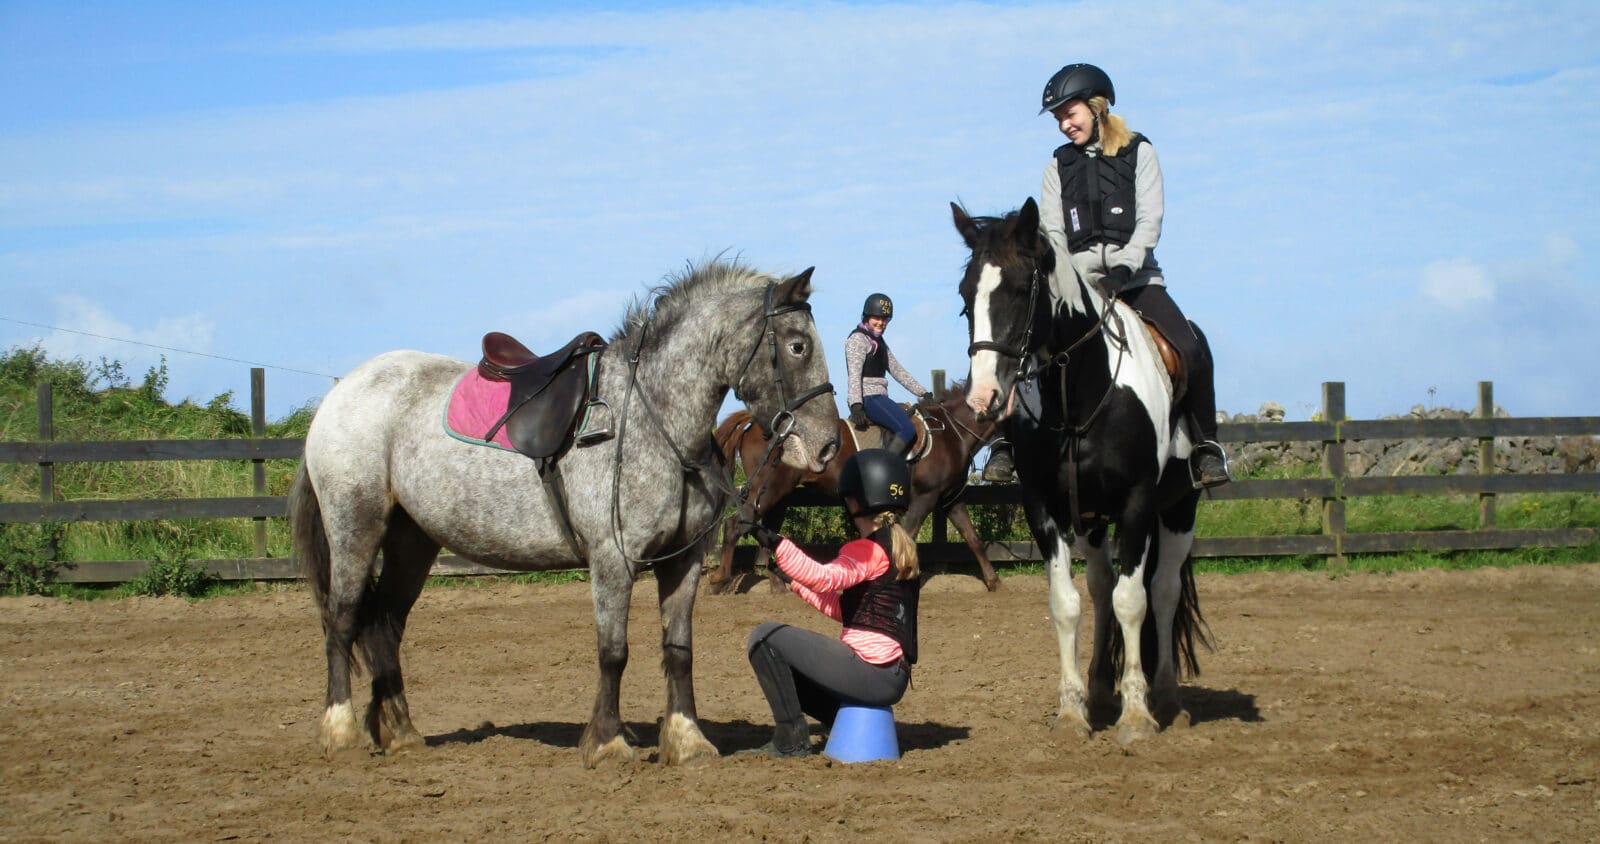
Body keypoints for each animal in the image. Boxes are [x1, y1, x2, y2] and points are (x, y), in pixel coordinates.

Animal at [291, 262, 838, 764]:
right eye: (797, 346)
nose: (827, 445)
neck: (651, 416)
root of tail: (340, 394)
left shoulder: (681, 563)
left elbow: (679, 651)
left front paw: (687, 740)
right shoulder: (613, 560)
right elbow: (613, 652)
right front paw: (608, 742)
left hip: (412, 540)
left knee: (385, 625)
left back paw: (401, 732)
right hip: (356, 527)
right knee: (342, 619)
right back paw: (341, 731)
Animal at [710, 382, 1004, 594]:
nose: (1001, 467)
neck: (949, 434)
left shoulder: (950, 500)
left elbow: (973, 538)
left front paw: (993, 581)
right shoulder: (925, 497)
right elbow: (909, 535)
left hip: (779, 495)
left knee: (766, 531)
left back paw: (778, 585)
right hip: (769, 489)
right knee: (736, 525)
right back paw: (720, 580)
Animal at [947, 198, 1209, 744]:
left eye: (1020, 289)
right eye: (965, 297)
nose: (983, 399)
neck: (1079, 396)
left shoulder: (1137, 504)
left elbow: (1135, 601)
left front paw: (1137, 717)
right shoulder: (1045, 508)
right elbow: (1067, 603)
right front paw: (1072, 711)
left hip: (1179, 509)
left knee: (1163, 591)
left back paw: (1166, 698)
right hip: (1091, 520)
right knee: (1102, 588)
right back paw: (1101, 687)